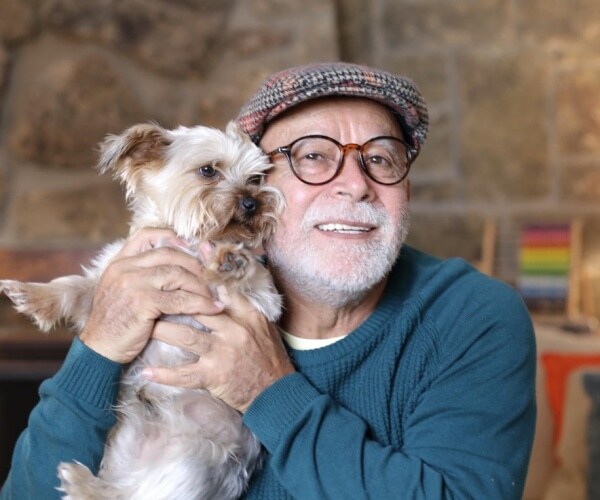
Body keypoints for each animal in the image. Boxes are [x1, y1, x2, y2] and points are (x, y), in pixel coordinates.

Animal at [0, 121, 284, 500]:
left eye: (255, 178)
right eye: (208, 170)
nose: (252, 203)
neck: (187, 240)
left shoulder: (264, 300)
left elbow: (252, 279)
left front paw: (231, 258)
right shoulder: (114, 277)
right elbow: (74, 288)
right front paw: (32, 294)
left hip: (192, 461)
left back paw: (81, 482)